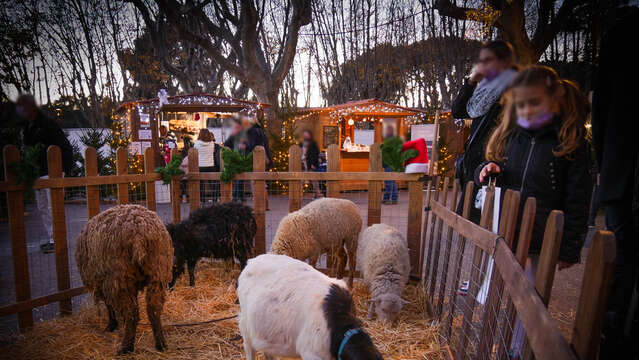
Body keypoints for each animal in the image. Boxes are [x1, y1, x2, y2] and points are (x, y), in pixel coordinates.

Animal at [75, 204, 174, 352]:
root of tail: (139, 234)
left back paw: (126, 347)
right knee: (154, 309)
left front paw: (112, 325)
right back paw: (160, 344)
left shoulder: (103, 282)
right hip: (158, 271)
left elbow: (109, 305)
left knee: (131, 313)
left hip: (120, 278)